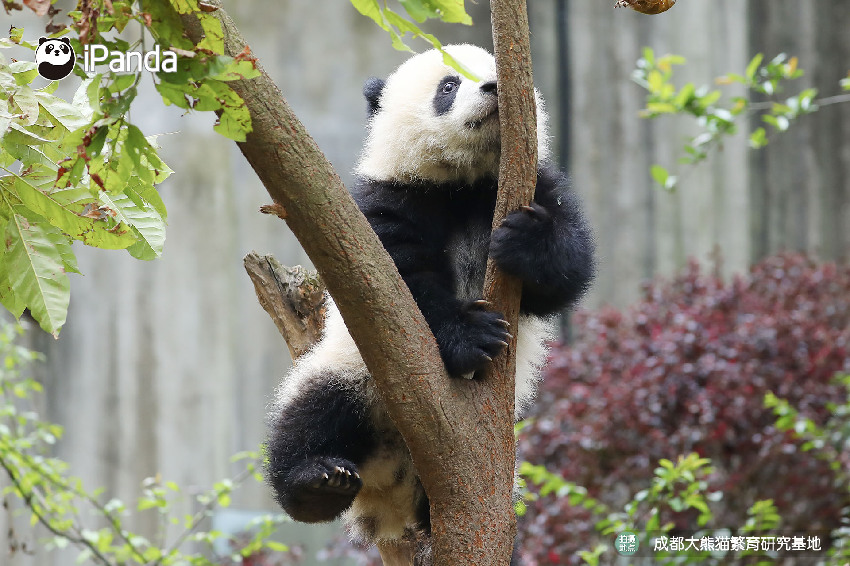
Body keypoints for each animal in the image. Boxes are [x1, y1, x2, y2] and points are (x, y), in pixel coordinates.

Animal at [264, 44, 588, 552]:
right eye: (448, 85)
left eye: (497, 69)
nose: (493, 88)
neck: (464, 181)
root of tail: (388, 485)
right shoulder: (387, 202)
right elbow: (397, 289)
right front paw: (473, 336)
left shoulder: (538, 185)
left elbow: (565, 274)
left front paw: (529, 239)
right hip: (352, 373)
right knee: (311, 414)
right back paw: (317, 483)